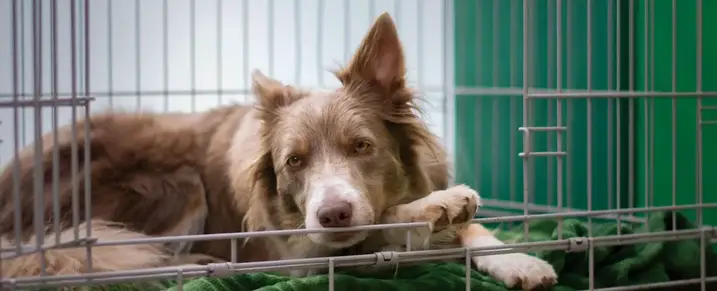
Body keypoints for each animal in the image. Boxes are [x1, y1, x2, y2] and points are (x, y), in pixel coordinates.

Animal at [0, 13, 556, 291]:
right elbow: (377, 228)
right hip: (176, 184)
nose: (332, 213)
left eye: (362, 146)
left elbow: (474, 230)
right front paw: (435, 208)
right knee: (113, 258)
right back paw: (195, 263)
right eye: (294, 161)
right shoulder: (298, 253)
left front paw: (520, 261)